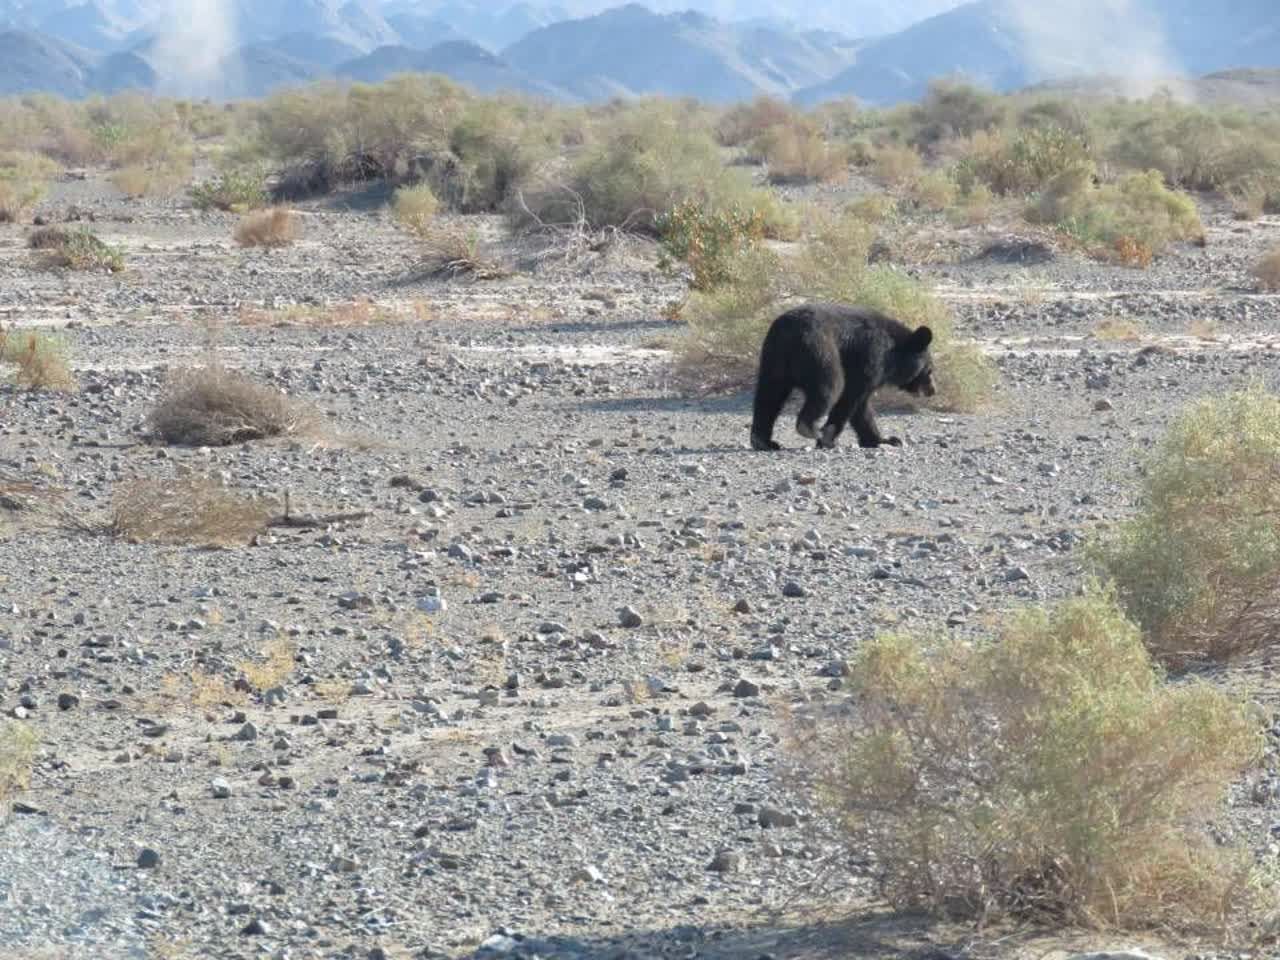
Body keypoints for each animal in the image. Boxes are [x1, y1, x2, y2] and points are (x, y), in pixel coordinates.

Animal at [747, 305, 936, 453]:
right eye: (930, 370)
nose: (933, 390)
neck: (892, 354)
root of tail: (788, 333)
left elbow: (862, 408)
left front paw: (885, 440)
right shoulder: (869, 358)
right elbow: (851, 396)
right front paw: (828, 439)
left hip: (773, 360)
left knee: (769, 395)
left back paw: (763, 441)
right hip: (820, 352)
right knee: (830, 387)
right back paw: (811, 429)